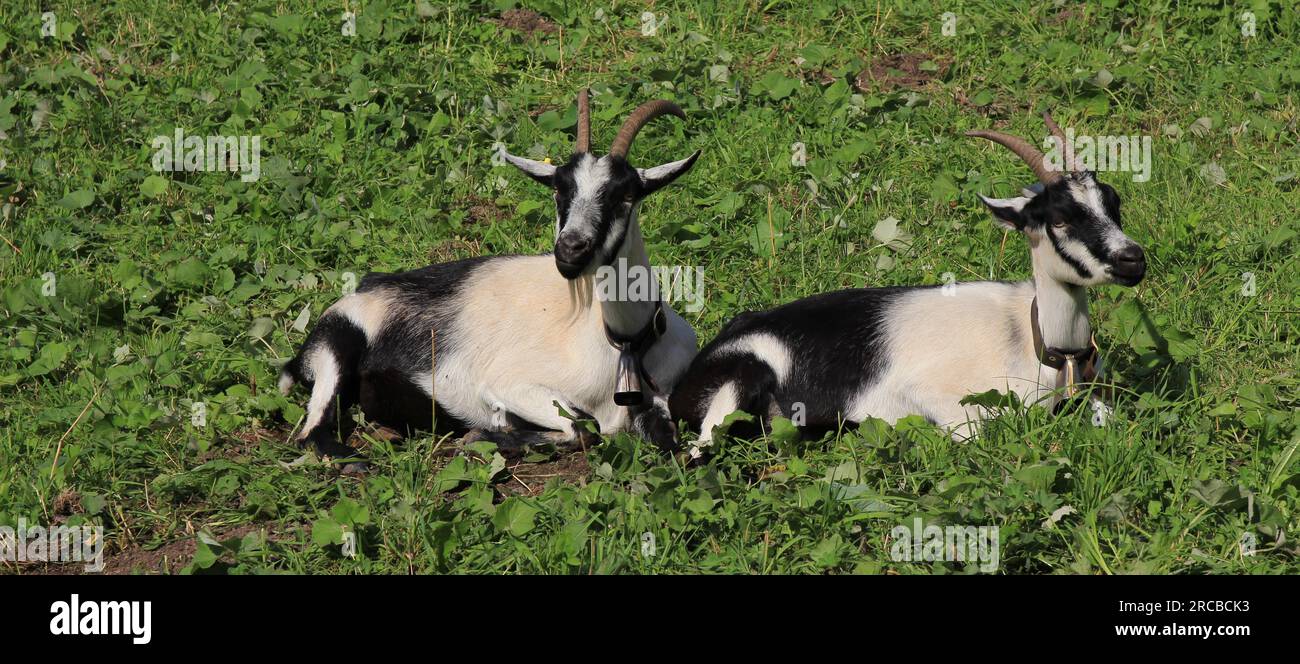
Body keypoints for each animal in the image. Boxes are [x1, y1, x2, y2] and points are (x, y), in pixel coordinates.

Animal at [282, 90, 702, 459]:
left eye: (626, 195)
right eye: (558, 190)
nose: (570, 250)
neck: (619, 340)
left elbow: (667, 439)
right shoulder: (510, 385)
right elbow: (581, 430)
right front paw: (486, 434)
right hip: (337, 344)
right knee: (311, 433)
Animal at [670, 113, 1149, 457]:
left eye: (1113, 203)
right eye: (1060, 219)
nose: (1132, 259)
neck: (1034, 341)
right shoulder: (934, 396)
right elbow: (977, 432)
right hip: (738, 382)